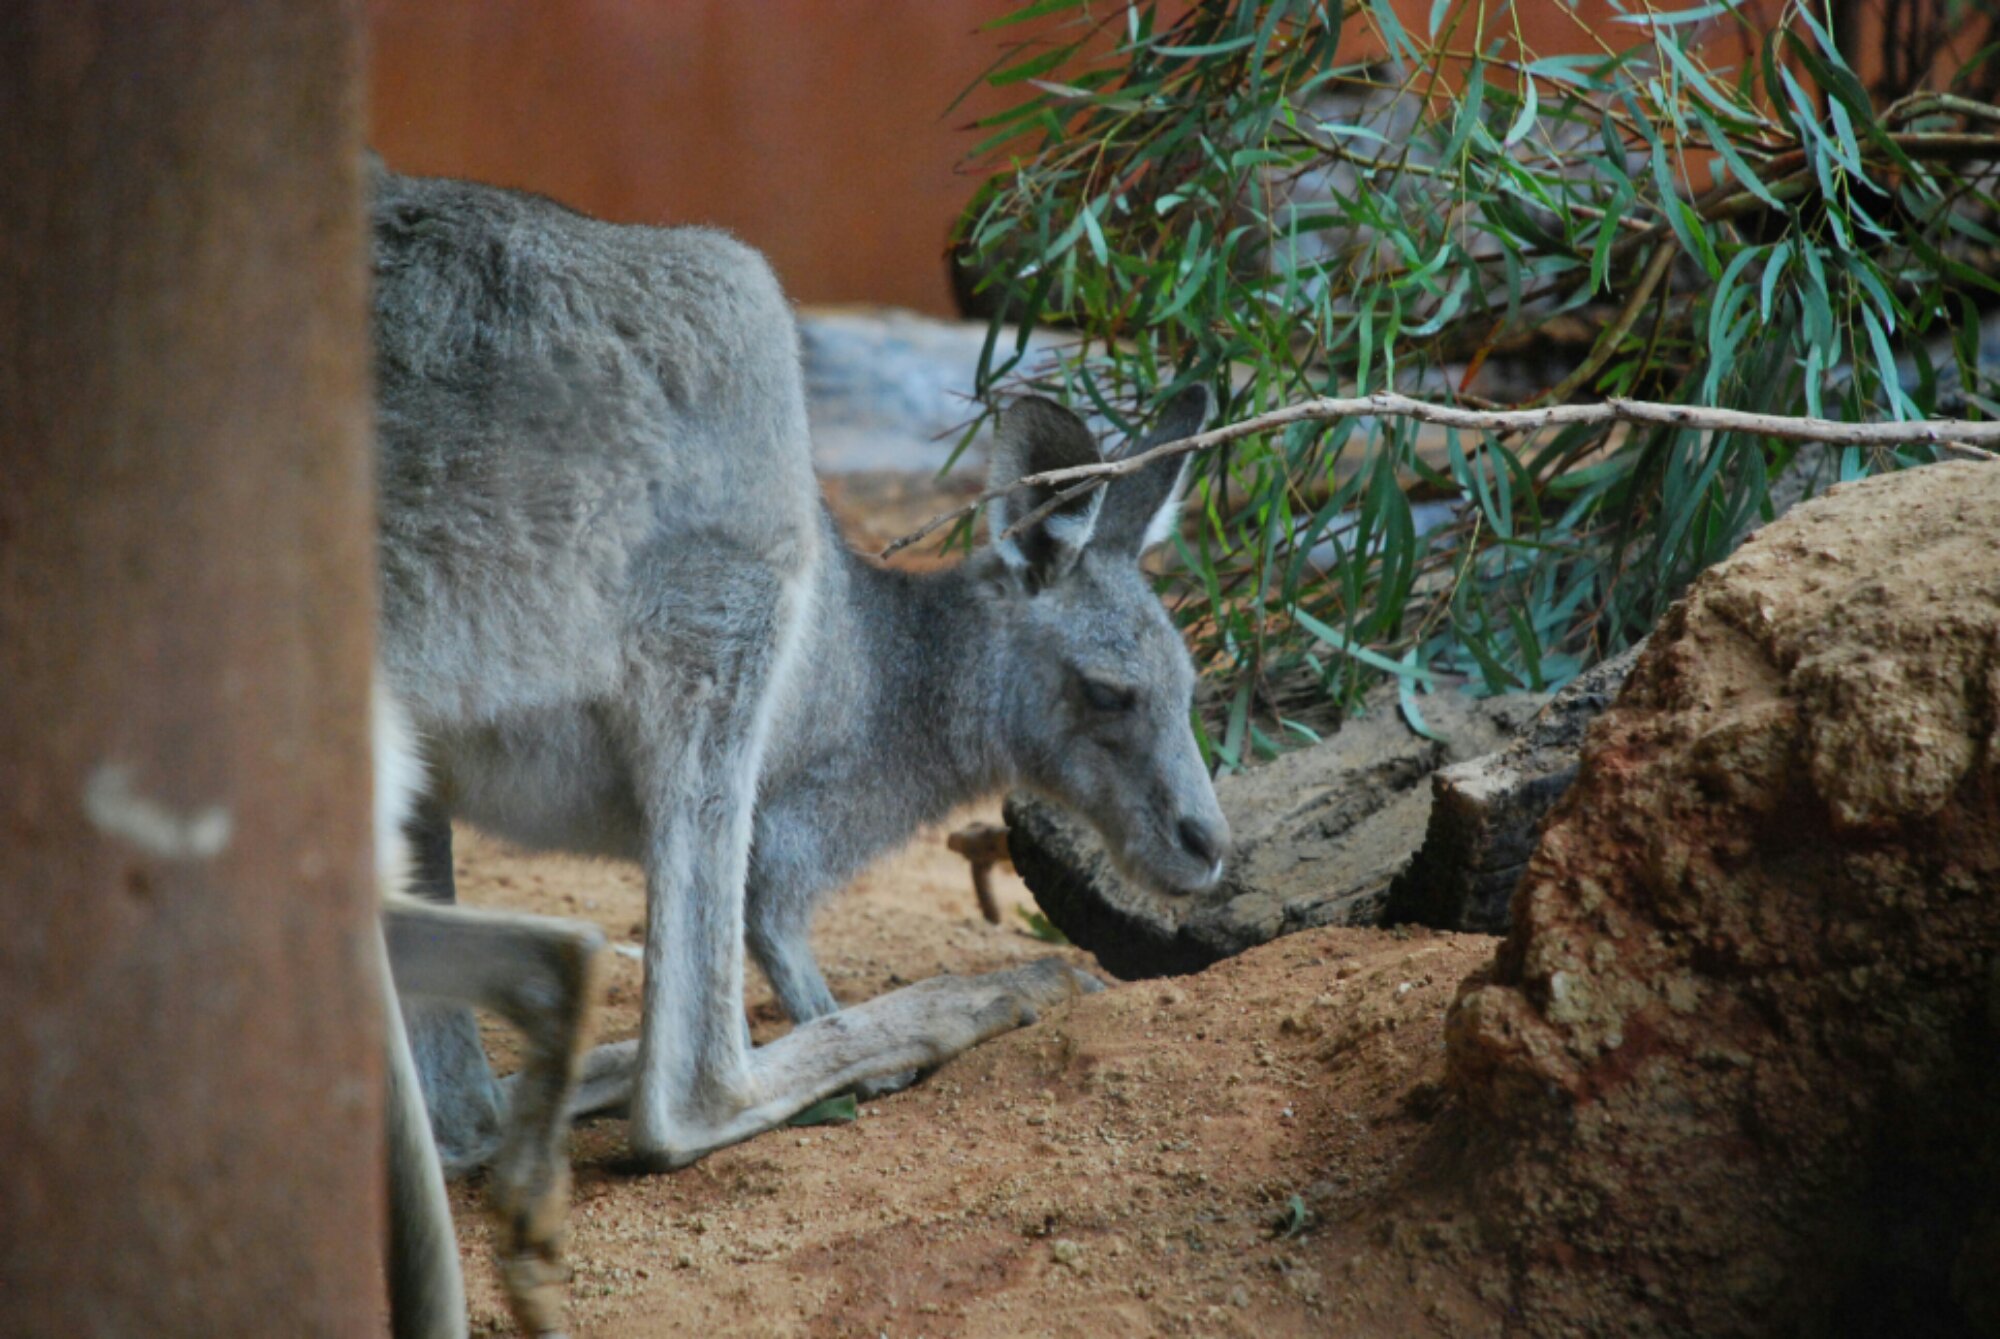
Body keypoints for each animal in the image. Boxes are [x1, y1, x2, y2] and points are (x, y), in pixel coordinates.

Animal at [367, 162, 1230, 1174]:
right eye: (1108, 694)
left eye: (1191, 690)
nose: (1211, 844)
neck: (902, 677)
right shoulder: (792, 835)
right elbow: (769, 922)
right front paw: (869, 1030)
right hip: (727, 407)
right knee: (689, 1092)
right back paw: (999, 993)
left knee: (464, 1114)